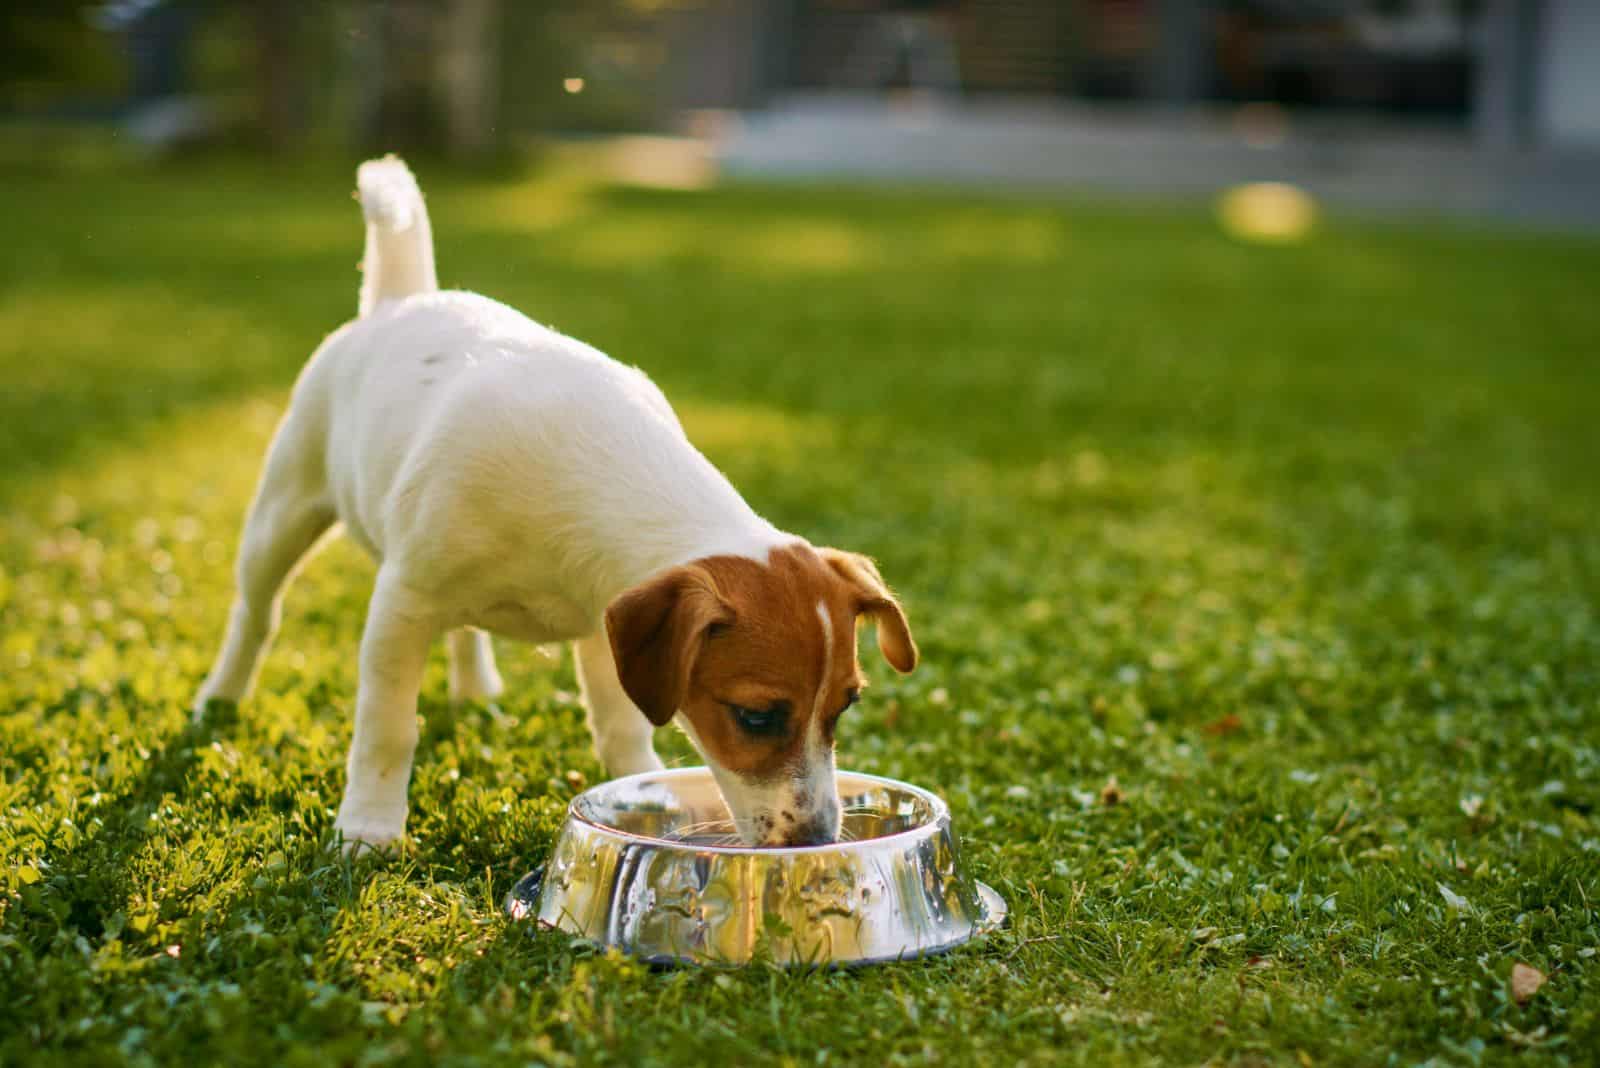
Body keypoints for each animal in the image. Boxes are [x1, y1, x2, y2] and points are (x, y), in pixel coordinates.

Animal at [193, 156, 921, 850]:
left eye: (846, 707)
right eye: (756, 716)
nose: (819, 839)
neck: (597, 470)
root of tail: (402, 298)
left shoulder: (606, 629)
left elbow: (620, 727)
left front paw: (644, 792)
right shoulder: (401, 605)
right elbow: (388, 729)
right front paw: (369, 828)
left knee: (462, 631)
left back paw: (475, 689)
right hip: (284, 512)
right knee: (257, 614)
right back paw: (219, 699)